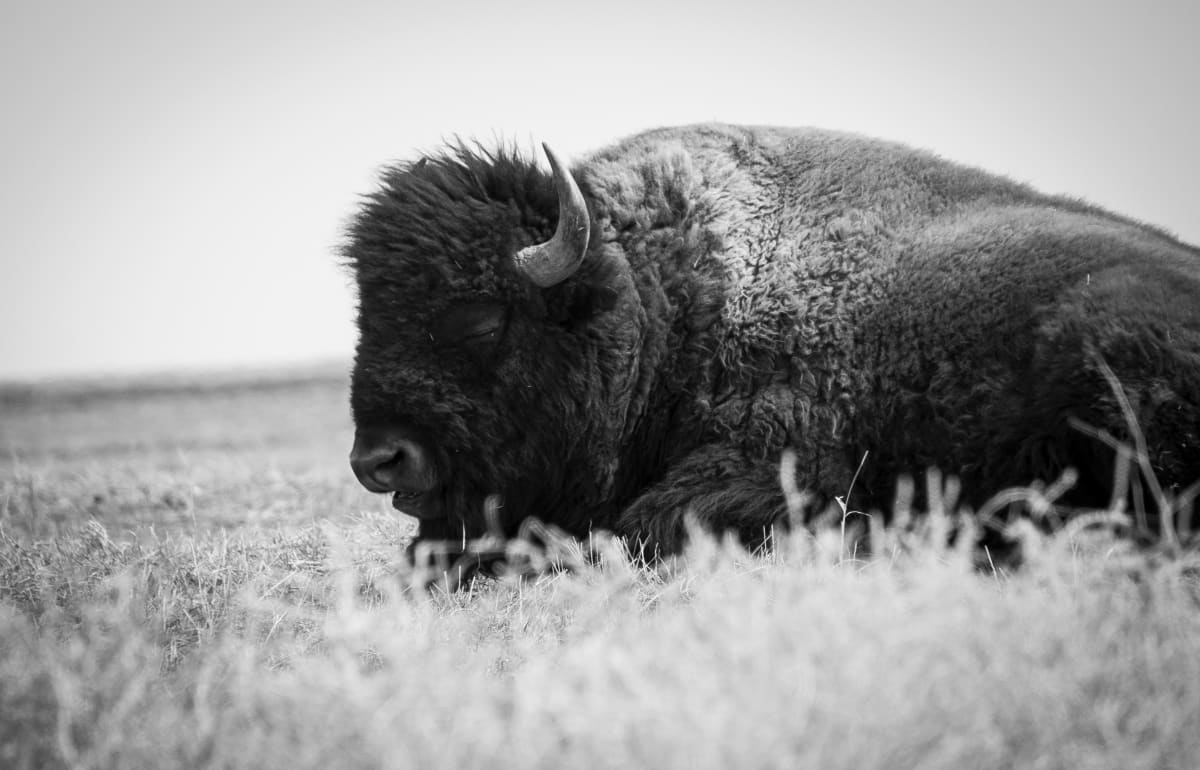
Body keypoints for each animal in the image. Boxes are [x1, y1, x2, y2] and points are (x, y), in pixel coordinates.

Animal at [348, 122, 1200, 554]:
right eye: (365, 318)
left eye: (482, 318)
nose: (378, 460)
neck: (657, 300)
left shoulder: (774, 470)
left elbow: (635, 527)